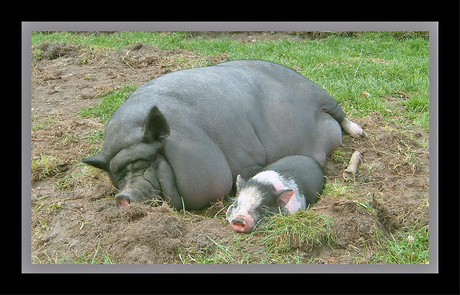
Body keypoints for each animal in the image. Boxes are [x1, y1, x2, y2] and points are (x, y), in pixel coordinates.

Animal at [82, 59, 366, 209]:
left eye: (149, 162)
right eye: (118, 176)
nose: (123, 196)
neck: (193, 133)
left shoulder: (247, 155)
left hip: (320, 93)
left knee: (341, 115)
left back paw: (360, 134)